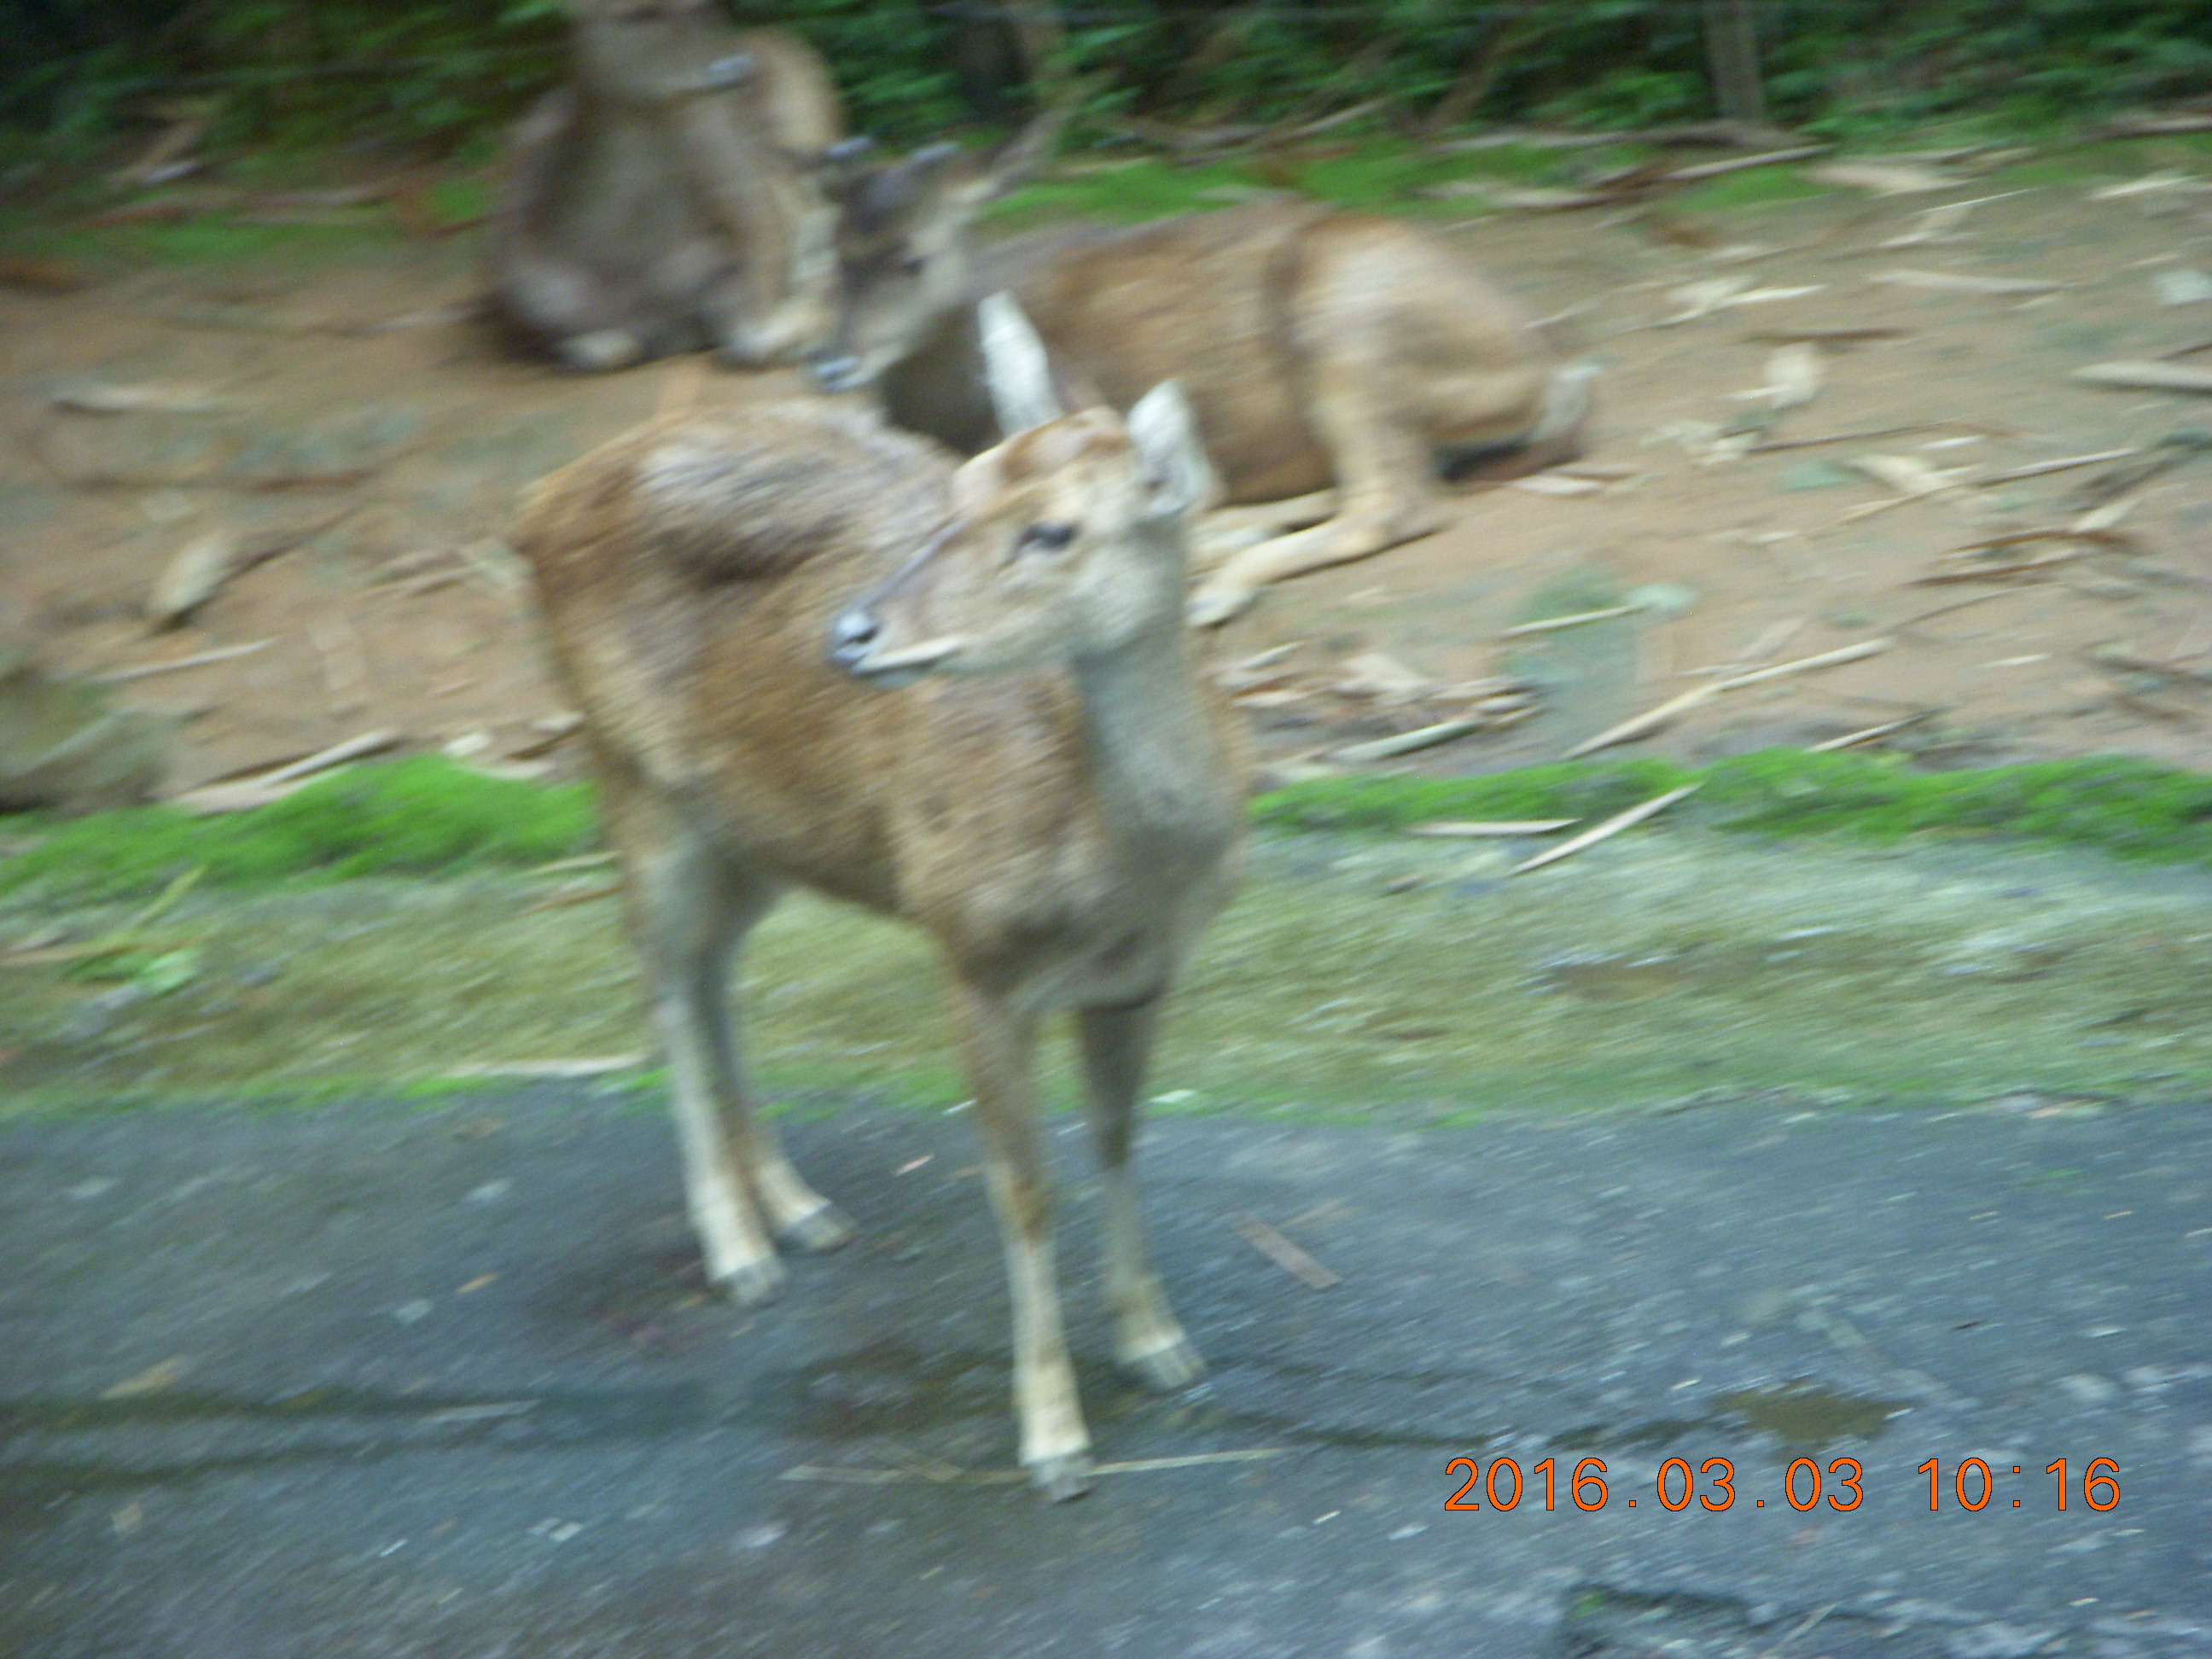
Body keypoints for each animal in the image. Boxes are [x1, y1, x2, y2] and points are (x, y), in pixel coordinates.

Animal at [489, 0, 853, 373]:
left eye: (704, 5)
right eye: (637, 13)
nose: (737, 66)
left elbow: (757, 333)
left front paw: (806, 329)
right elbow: (602, 348)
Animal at [512, 296, 1248, 1499]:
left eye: (1053, 531)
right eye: (964, 487)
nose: (853, 632)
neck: (1120, 875)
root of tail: (534, 505)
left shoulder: (1143, 978)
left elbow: (1117, 1144)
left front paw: (1159, 1344)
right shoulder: (973, 955)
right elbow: (1023, 1189)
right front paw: (1053, 1439)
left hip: (754, 831)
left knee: (712, 974)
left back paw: (801, 1210)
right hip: (633, 777)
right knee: (661, 982)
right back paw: (737, 1251)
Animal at [807, 133, 1596, 626]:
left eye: (913, 256)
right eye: (836, 252)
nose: (831, 361)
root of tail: (1553, 369)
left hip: (1348, 320)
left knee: (1397, 501)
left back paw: (1215, 589)